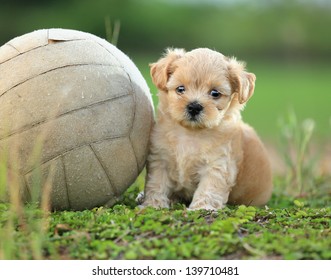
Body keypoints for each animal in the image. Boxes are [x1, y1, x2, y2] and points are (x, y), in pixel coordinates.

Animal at [144, 48, 274, 210]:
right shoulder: (160, 158)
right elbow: (156, 183)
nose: (194, 106)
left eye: (215, 93)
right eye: (180, 89)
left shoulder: (218, 165)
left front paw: (201, 208)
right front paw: (152, 204)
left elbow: (209, 188)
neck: (191, 133)